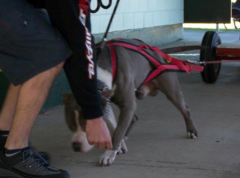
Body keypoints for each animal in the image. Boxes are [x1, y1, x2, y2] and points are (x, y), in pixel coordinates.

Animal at [62, 38, 198, 167]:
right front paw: (118, 145)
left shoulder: (126, 104)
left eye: (88, 127)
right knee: (132, 118)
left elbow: (117, 132)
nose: (76, 146)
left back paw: (191, 131)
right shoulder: (107, 101)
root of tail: (157, 52)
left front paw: (108, 154)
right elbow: (114, 125)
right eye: (70, 126)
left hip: (171, 90)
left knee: (185, 109)